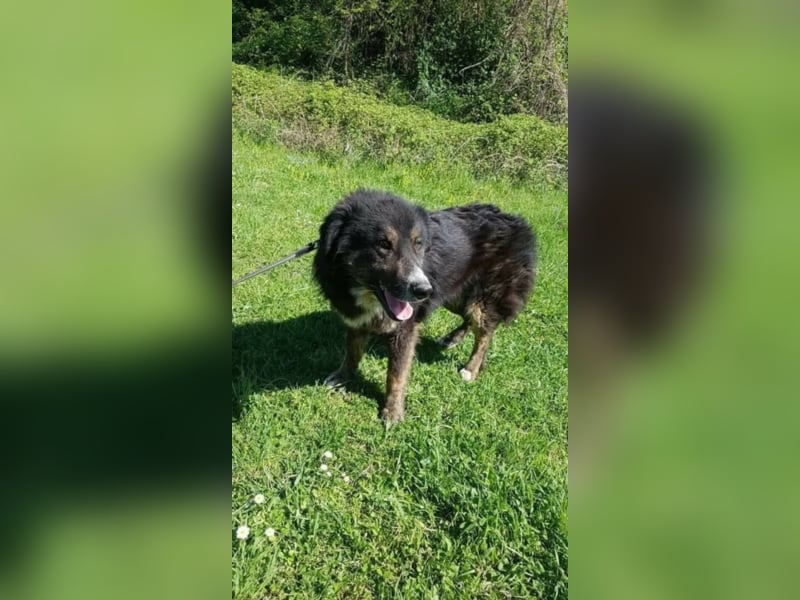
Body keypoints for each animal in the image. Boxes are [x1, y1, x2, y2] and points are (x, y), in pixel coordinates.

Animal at [313, 189, 537, 423]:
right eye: (383, 244)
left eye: (418, 243)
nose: (423, 290)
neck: (364, 292)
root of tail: (519, 222)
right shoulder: (356, 320)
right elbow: (352, 353)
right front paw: (343, 376)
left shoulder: (405, 329)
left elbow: (396, 375)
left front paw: (393, 412)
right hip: (454, 294)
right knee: (469, 320)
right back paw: (451, 339)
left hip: (482, 299)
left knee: (485, 333)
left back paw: (471, 369)